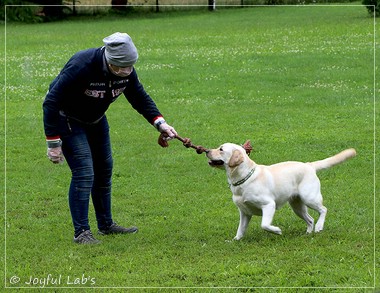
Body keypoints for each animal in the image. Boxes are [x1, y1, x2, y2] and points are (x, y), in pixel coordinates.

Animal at [206, 144, 354, 240]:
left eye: (221, 149)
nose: (206, 150)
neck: (244, 178)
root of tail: (309, 165)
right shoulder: (244, 212)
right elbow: (240, 229)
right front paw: (235, 240)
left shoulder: (269, 205)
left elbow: (265, 224)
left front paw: (277, 231)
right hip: (297, 206)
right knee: (310, 219)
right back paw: (307, 233)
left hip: (310, 198)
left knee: (323, 210)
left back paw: (319, 227)